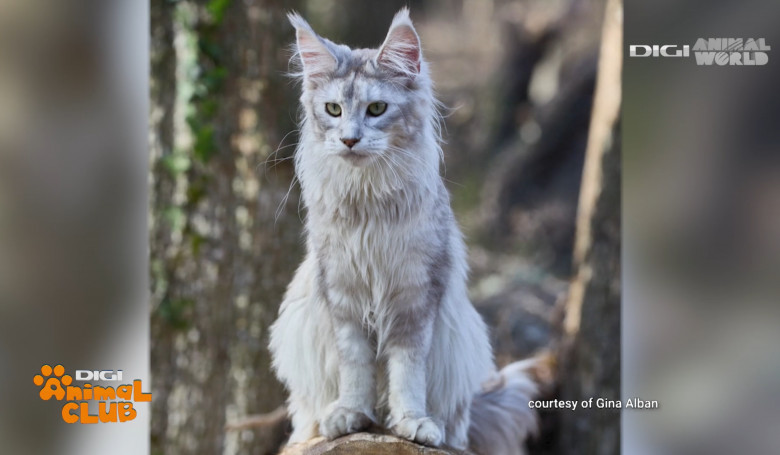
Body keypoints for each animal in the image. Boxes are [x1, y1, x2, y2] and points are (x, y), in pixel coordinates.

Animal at [272, 8, 540, 455]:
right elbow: (355, 368)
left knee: (457, 422)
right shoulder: (342, 295)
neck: (368, 205)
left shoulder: (415, 298)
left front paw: (412, 422)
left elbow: (406, 372)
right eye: (333, 109)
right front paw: (350, 414)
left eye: (377, 108)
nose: (349, 140)